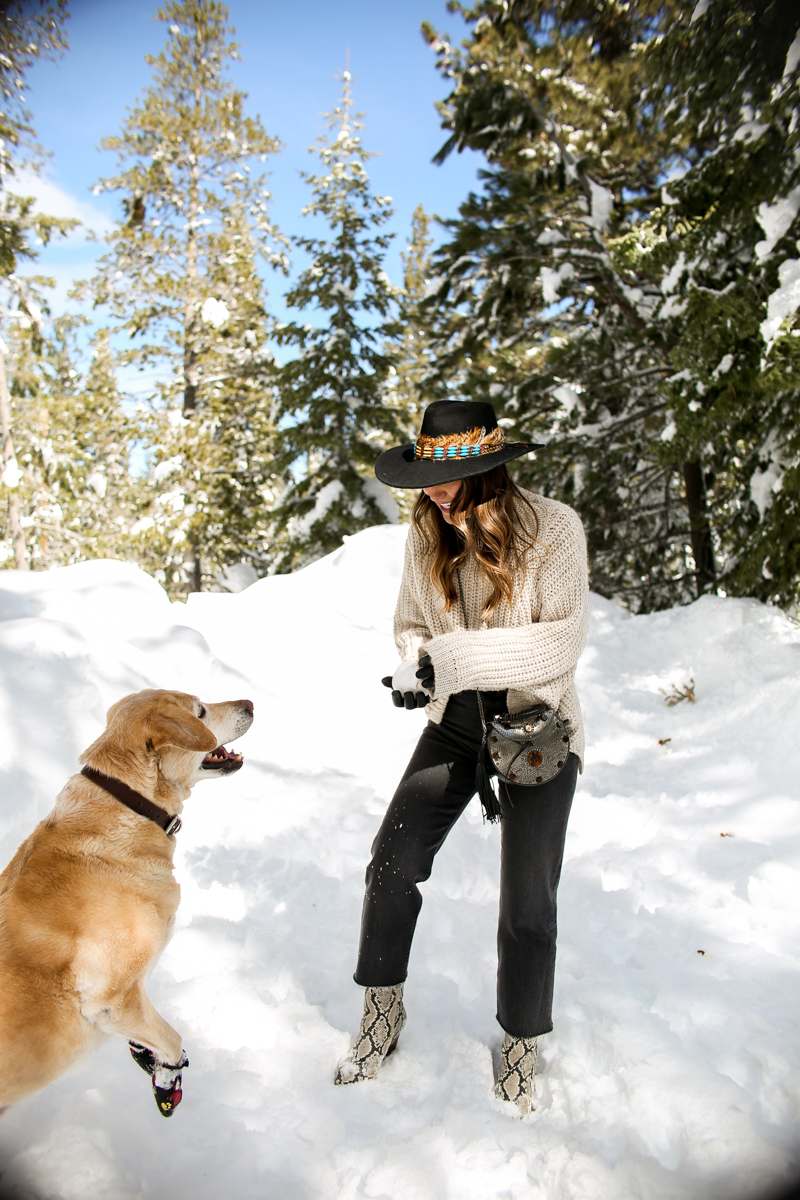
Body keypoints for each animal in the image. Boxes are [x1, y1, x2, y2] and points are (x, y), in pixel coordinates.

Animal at [0, 691, 253, 1118]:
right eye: (200, 711)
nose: (250, 703)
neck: (130, 805)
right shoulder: (111, 1000)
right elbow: (171, 1039)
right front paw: (168, 1076)